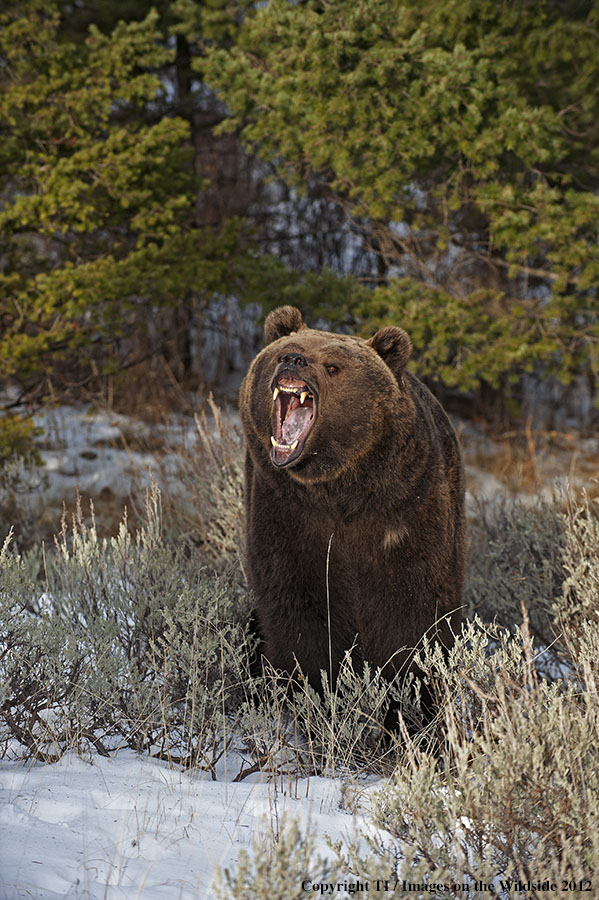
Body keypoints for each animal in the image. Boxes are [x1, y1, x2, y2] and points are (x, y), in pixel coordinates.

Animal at [240, 306, 468, 700]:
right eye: (281, 352)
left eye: (332, 366)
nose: (292, 359)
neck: (339, 489)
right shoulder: (287, 512)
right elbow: (298, 608)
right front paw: (313, 686)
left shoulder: (405, 512)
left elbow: (411, 613)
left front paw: (405, 696)